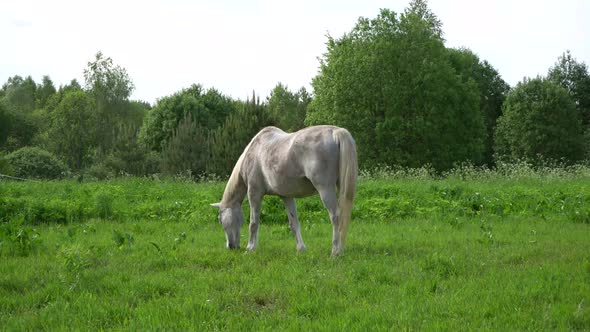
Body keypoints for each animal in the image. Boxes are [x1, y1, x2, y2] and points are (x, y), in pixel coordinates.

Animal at [210, 124, 358, 256]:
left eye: (220, 220)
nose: (231, 246)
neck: (254, 151)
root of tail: (335, 132)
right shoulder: (287, 196)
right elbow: (294, 223)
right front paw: (301, 249)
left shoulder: (254, 194)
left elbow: (253, 223)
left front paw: (250, 248)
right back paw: (341, 250)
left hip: (325, 189)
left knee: (336, 217)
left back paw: (335, 252)